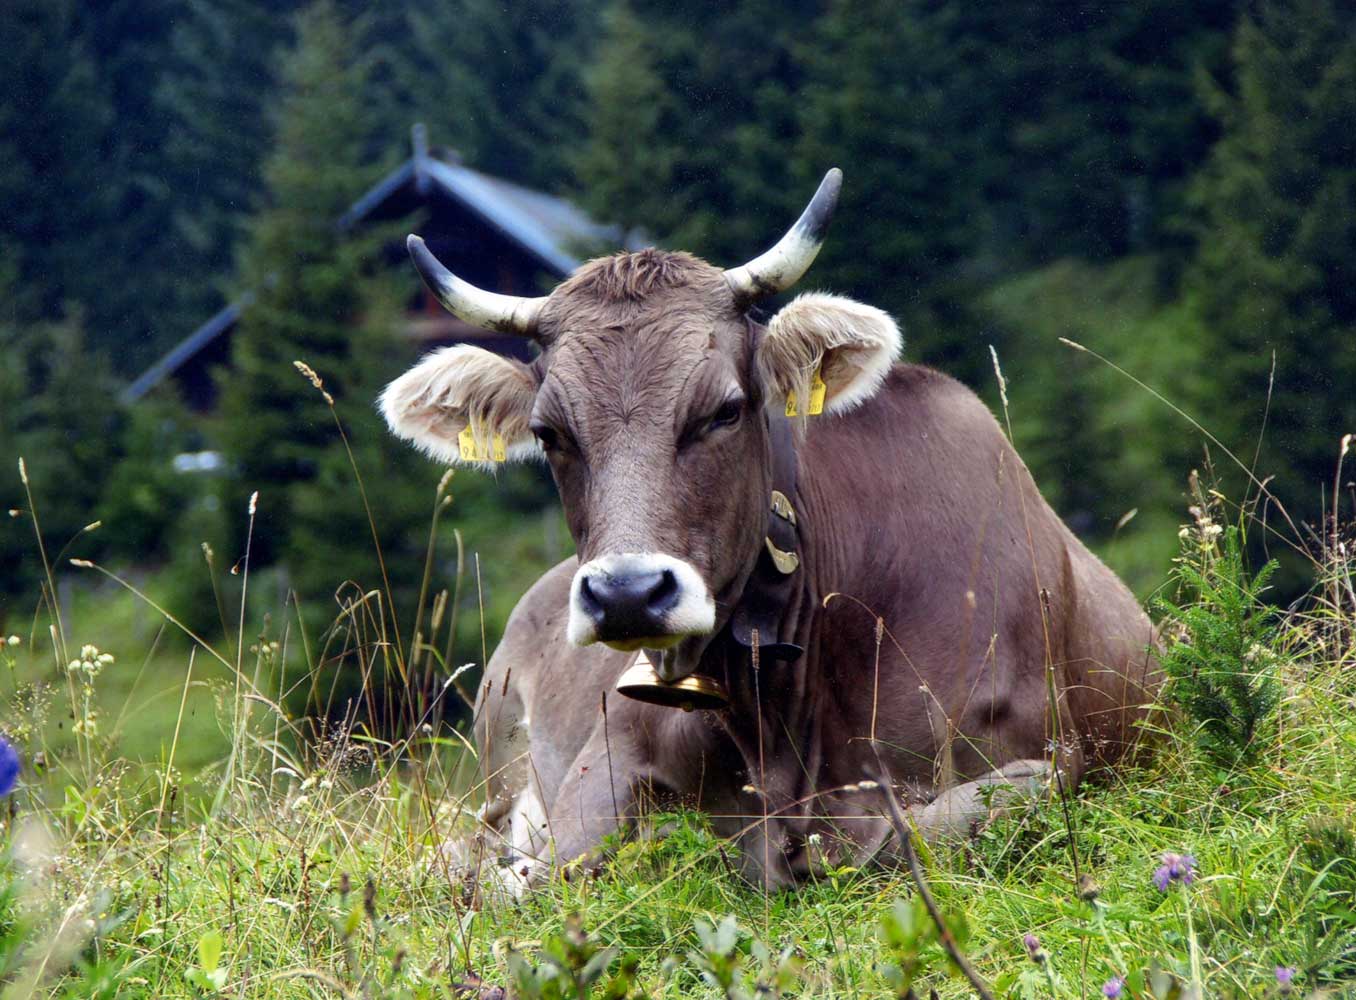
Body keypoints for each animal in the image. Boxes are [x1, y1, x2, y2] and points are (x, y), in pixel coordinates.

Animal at [379, 171, 1155, 890]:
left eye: (724, 410)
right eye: (548, 433)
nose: (627, 593)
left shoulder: (1039, 756)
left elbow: (908, 837)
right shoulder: (601, 765)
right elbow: (544, 877)